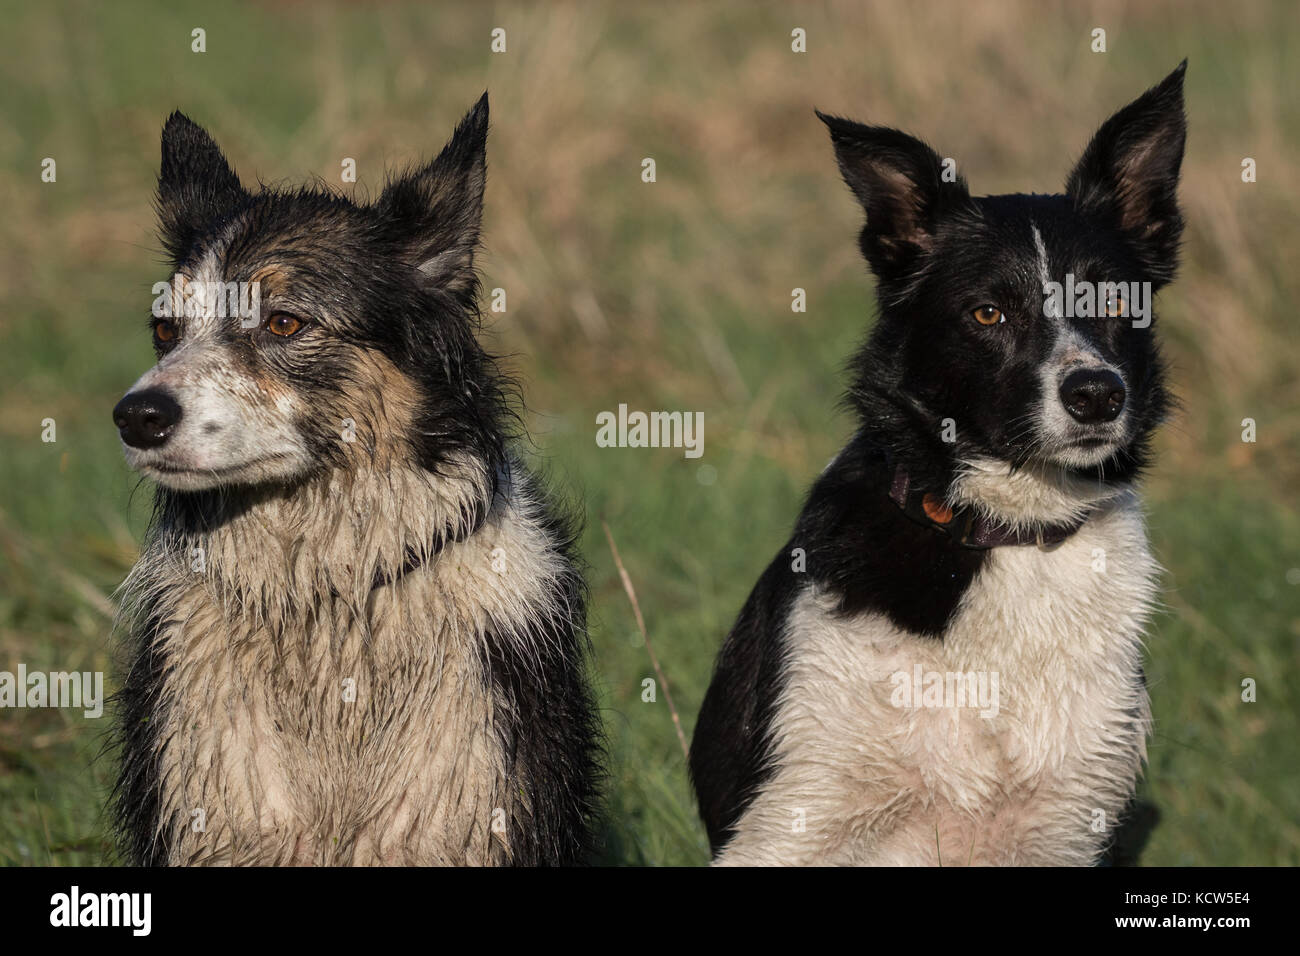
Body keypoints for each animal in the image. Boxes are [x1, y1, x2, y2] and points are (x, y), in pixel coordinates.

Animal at [691, 63, 1190, 863]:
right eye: (988, 313)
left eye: (1116, 300)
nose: (1096, 395)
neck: (1007, 533)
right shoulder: (791, 816)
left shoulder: (1067, 820)